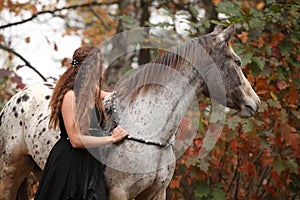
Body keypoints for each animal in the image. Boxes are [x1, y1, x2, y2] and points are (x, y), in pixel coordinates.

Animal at [0, 25, 258, 200]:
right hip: (9, 173)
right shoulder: (119, 193)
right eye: (237, 61)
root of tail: (15, 98)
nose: (254, 103)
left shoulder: (156, 193)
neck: (149, 132)